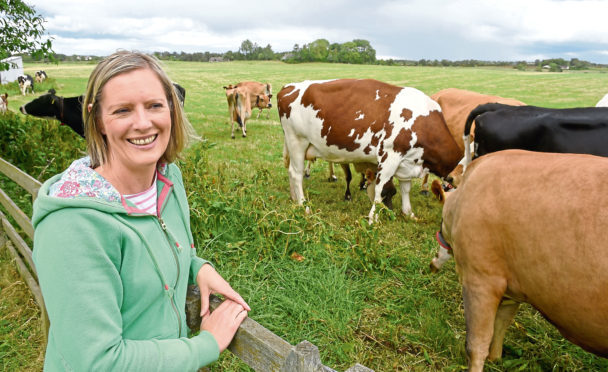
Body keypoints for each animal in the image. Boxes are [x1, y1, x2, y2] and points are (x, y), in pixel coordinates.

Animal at [276, 78, 460, 221]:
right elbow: (380, 189)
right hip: (297, 140)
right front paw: (373, 219)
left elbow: (405, 189)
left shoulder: (408, 160)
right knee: (296, 174)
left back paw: (294, 199)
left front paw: (408, 213)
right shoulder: (390, 155)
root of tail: (289, 86)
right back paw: (303, 205)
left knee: (290, 171)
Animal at [430, 150, 608, 370]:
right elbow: (500, 326)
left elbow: (476, 343)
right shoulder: (512, 289)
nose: (432, 265)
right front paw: (495, 359)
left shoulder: (480, 278)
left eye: (441, 220)